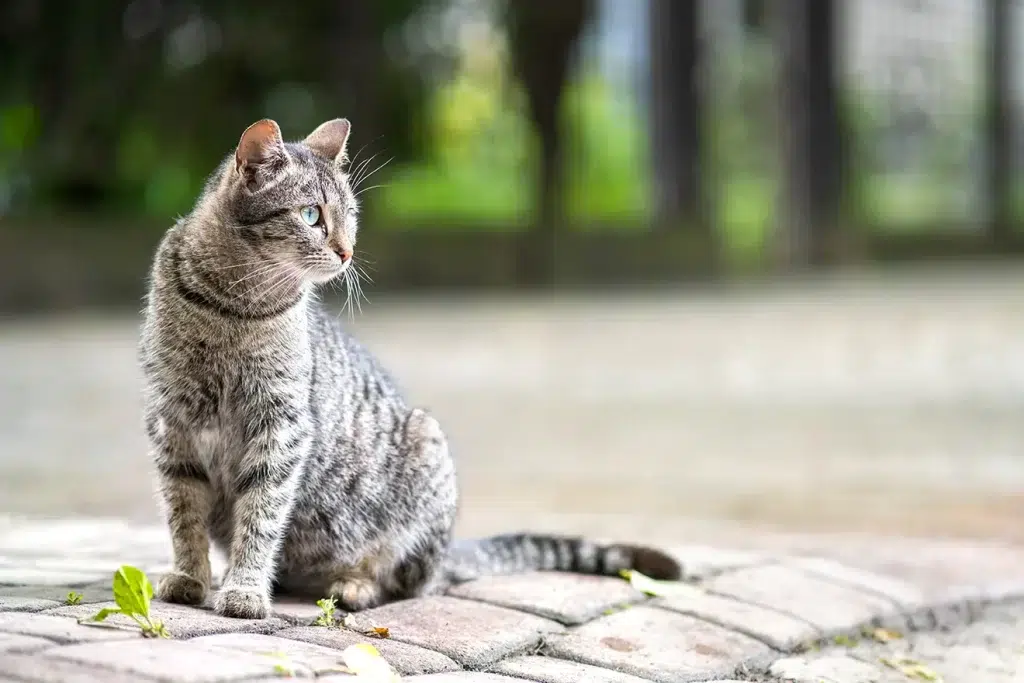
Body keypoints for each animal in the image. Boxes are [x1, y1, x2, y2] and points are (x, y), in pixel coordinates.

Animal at [136, 116, 679, 618]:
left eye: (350, 217)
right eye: (311, 216)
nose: (347, 251)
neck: (232, 306)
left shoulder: (280, 427)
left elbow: (261, 515)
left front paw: (245, 588)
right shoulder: (172, 422)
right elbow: (184, 515)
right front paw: (191, 577)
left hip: (425, 450)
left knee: (405, 583)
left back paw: (354, 585)